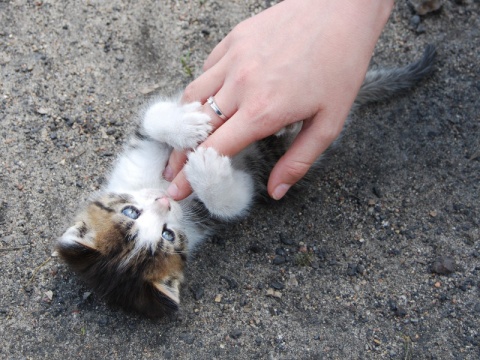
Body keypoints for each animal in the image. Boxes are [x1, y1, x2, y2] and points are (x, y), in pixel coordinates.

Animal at [55, 45, 436, 318]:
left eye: (130, 213)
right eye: (168, 235)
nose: (165, 202)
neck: (161, 188)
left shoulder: (141, 147)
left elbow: (154, 117)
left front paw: (187, 128)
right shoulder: (223, 206)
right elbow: (234, 199)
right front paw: (206, 168)